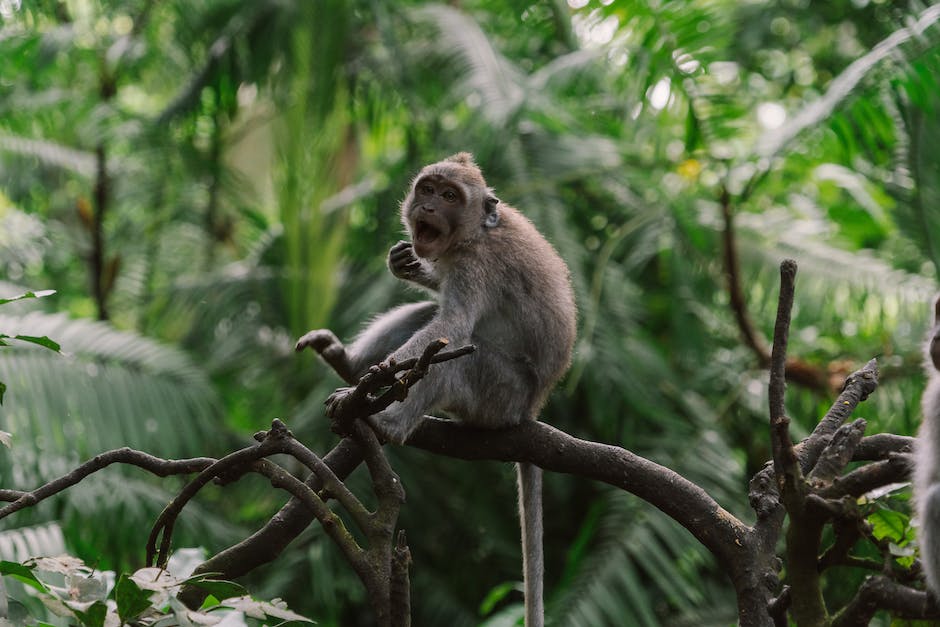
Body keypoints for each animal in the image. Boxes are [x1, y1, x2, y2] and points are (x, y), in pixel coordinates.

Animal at [296, 153, 572, 627]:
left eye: (449, 196)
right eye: (427, 189)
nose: (426, 208)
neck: (475, 234)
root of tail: (531, 409)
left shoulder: (476, 265)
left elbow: (454, 325)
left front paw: (366, 398)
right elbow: (436, 311)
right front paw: (404, 263)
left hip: (498, 394)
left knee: (456, 357)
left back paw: (387, 420)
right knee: (426, 323)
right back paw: (349, 364)